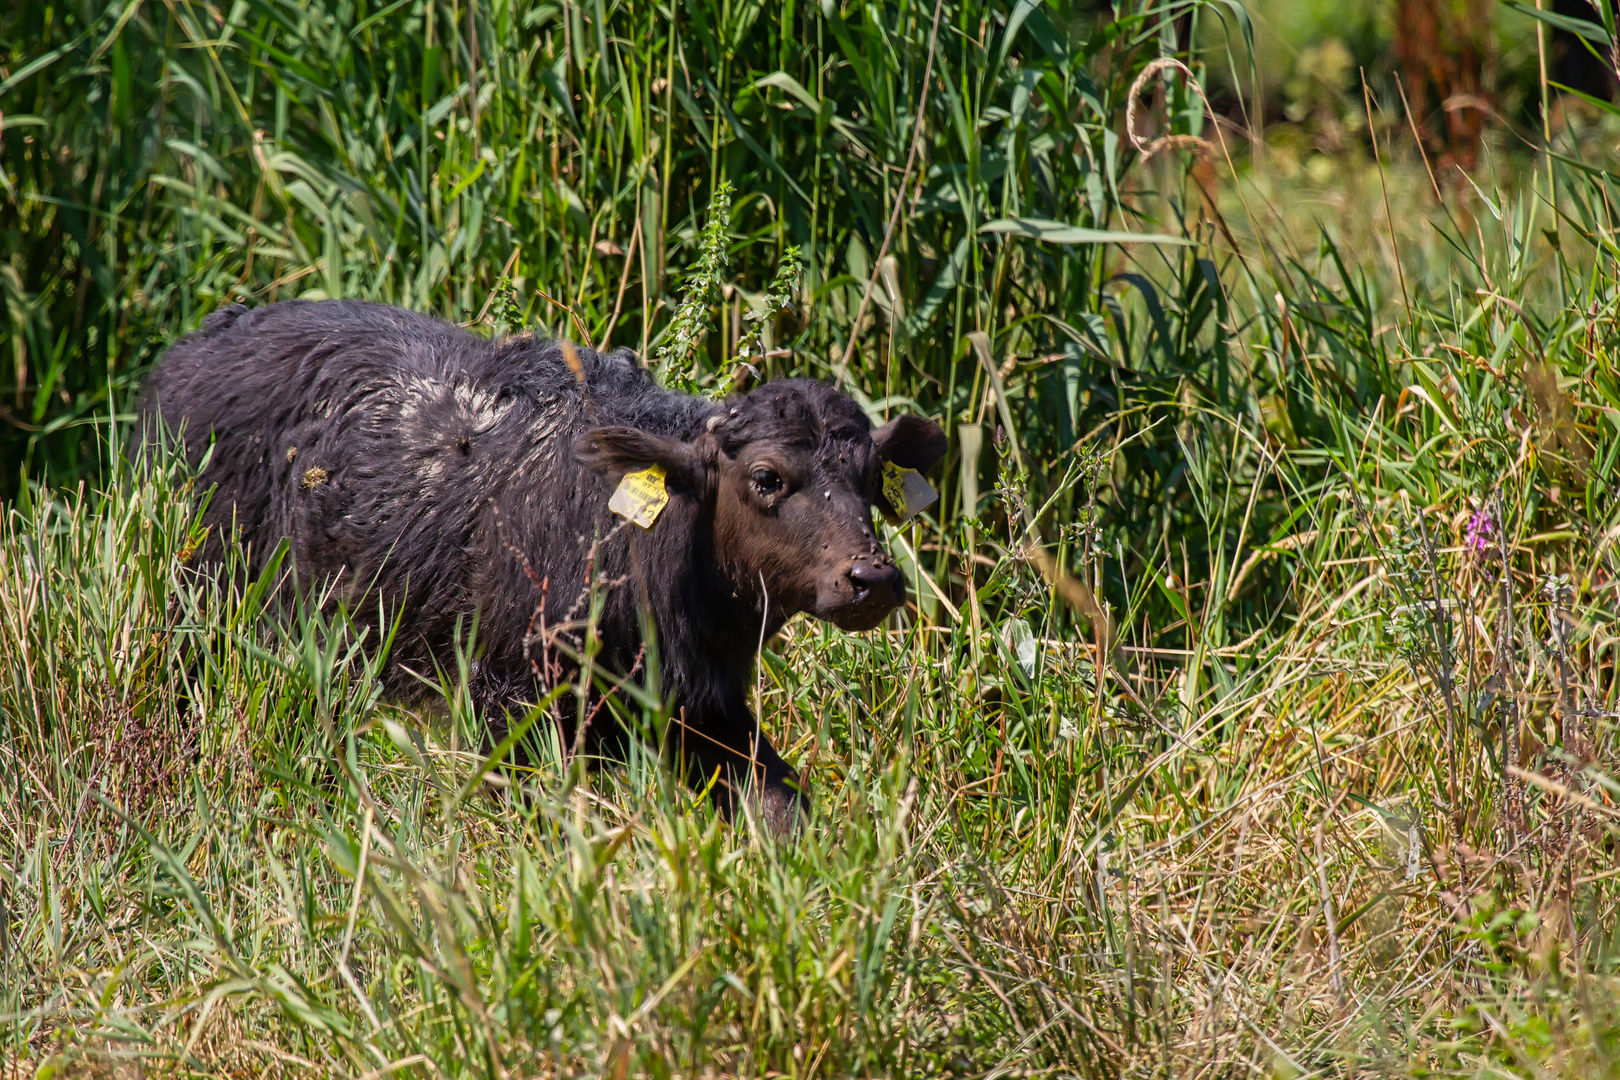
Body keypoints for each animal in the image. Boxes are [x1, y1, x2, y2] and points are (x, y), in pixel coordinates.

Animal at [142, 299, 946, 835]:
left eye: (870, 478)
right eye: (768, 477)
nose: (872, 579)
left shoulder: (703, 707)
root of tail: (191, 353)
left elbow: (781, 807)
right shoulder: (508, 703)